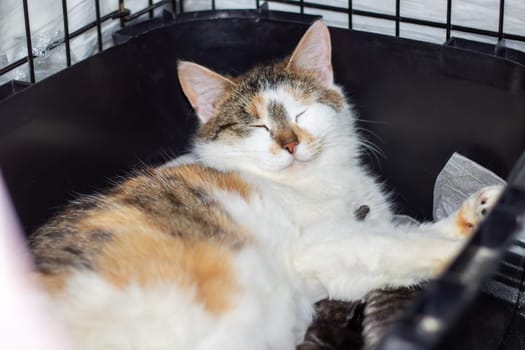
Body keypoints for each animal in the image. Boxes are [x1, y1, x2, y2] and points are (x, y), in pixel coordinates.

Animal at [29, 20, 504, 348]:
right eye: (256, 126)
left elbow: (393, 244)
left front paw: (479, 214)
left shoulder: (339, 271)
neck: (320, 183)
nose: (289, 143)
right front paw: (465, 251)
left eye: (300, 111)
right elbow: (395, 246)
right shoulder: (322, 246)